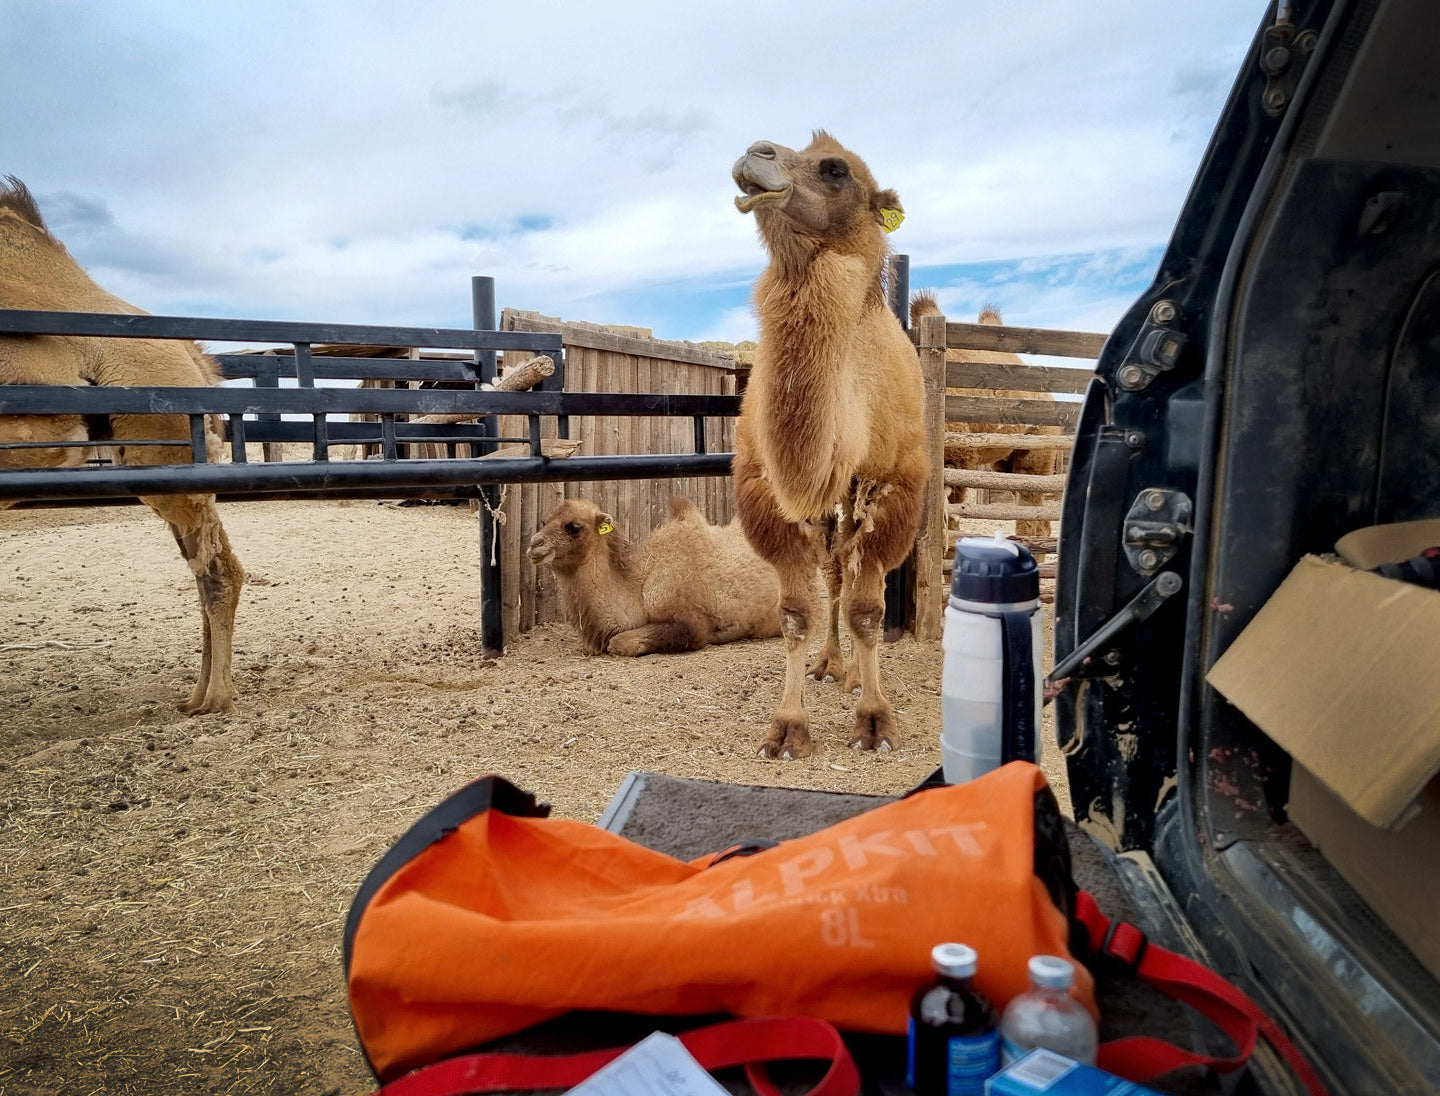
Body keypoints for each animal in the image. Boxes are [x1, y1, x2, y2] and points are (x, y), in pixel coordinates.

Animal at [0, 176, 244, 714]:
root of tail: (196, 362)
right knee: (204, 570)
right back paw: (198, 694)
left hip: (162, 458)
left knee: (216, 571)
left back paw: (214, 699)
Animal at [528, 495, 782, 656]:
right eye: (544, 521)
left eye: (574, 527)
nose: (534, 544)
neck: (639, 587)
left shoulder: (690, 621)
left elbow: (619, 642)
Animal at [730, 132, 929, 759]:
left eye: (835, 169)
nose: (755, 151)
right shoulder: (764, 485)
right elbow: (796, 614)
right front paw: (787, 728)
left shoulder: (897, 482)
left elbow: (870, 611)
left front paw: (875, 720)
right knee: (836, 571)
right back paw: (830, 665)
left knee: (848, 572)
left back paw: (854, 676)